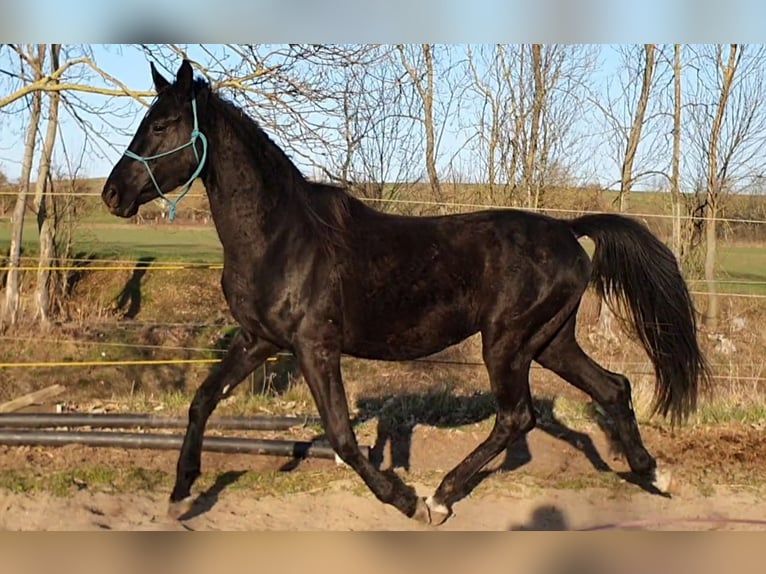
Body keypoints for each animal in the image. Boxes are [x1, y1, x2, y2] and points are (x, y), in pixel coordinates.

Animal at [103, 60, 712, 528]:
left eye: (162, 124)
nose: (112, 195)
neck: (281, 235)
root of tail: (568, 230)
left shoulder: (314, 347)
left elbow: (343, 437)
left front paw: (404, 498)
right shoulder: (259, 340)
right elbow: (202, 400)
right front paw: (181, 494)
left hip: (508, 342)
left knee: (518, 417)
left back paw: (440, 497)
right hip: (550, 341)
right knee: (612, 388)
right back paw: (655, 475)